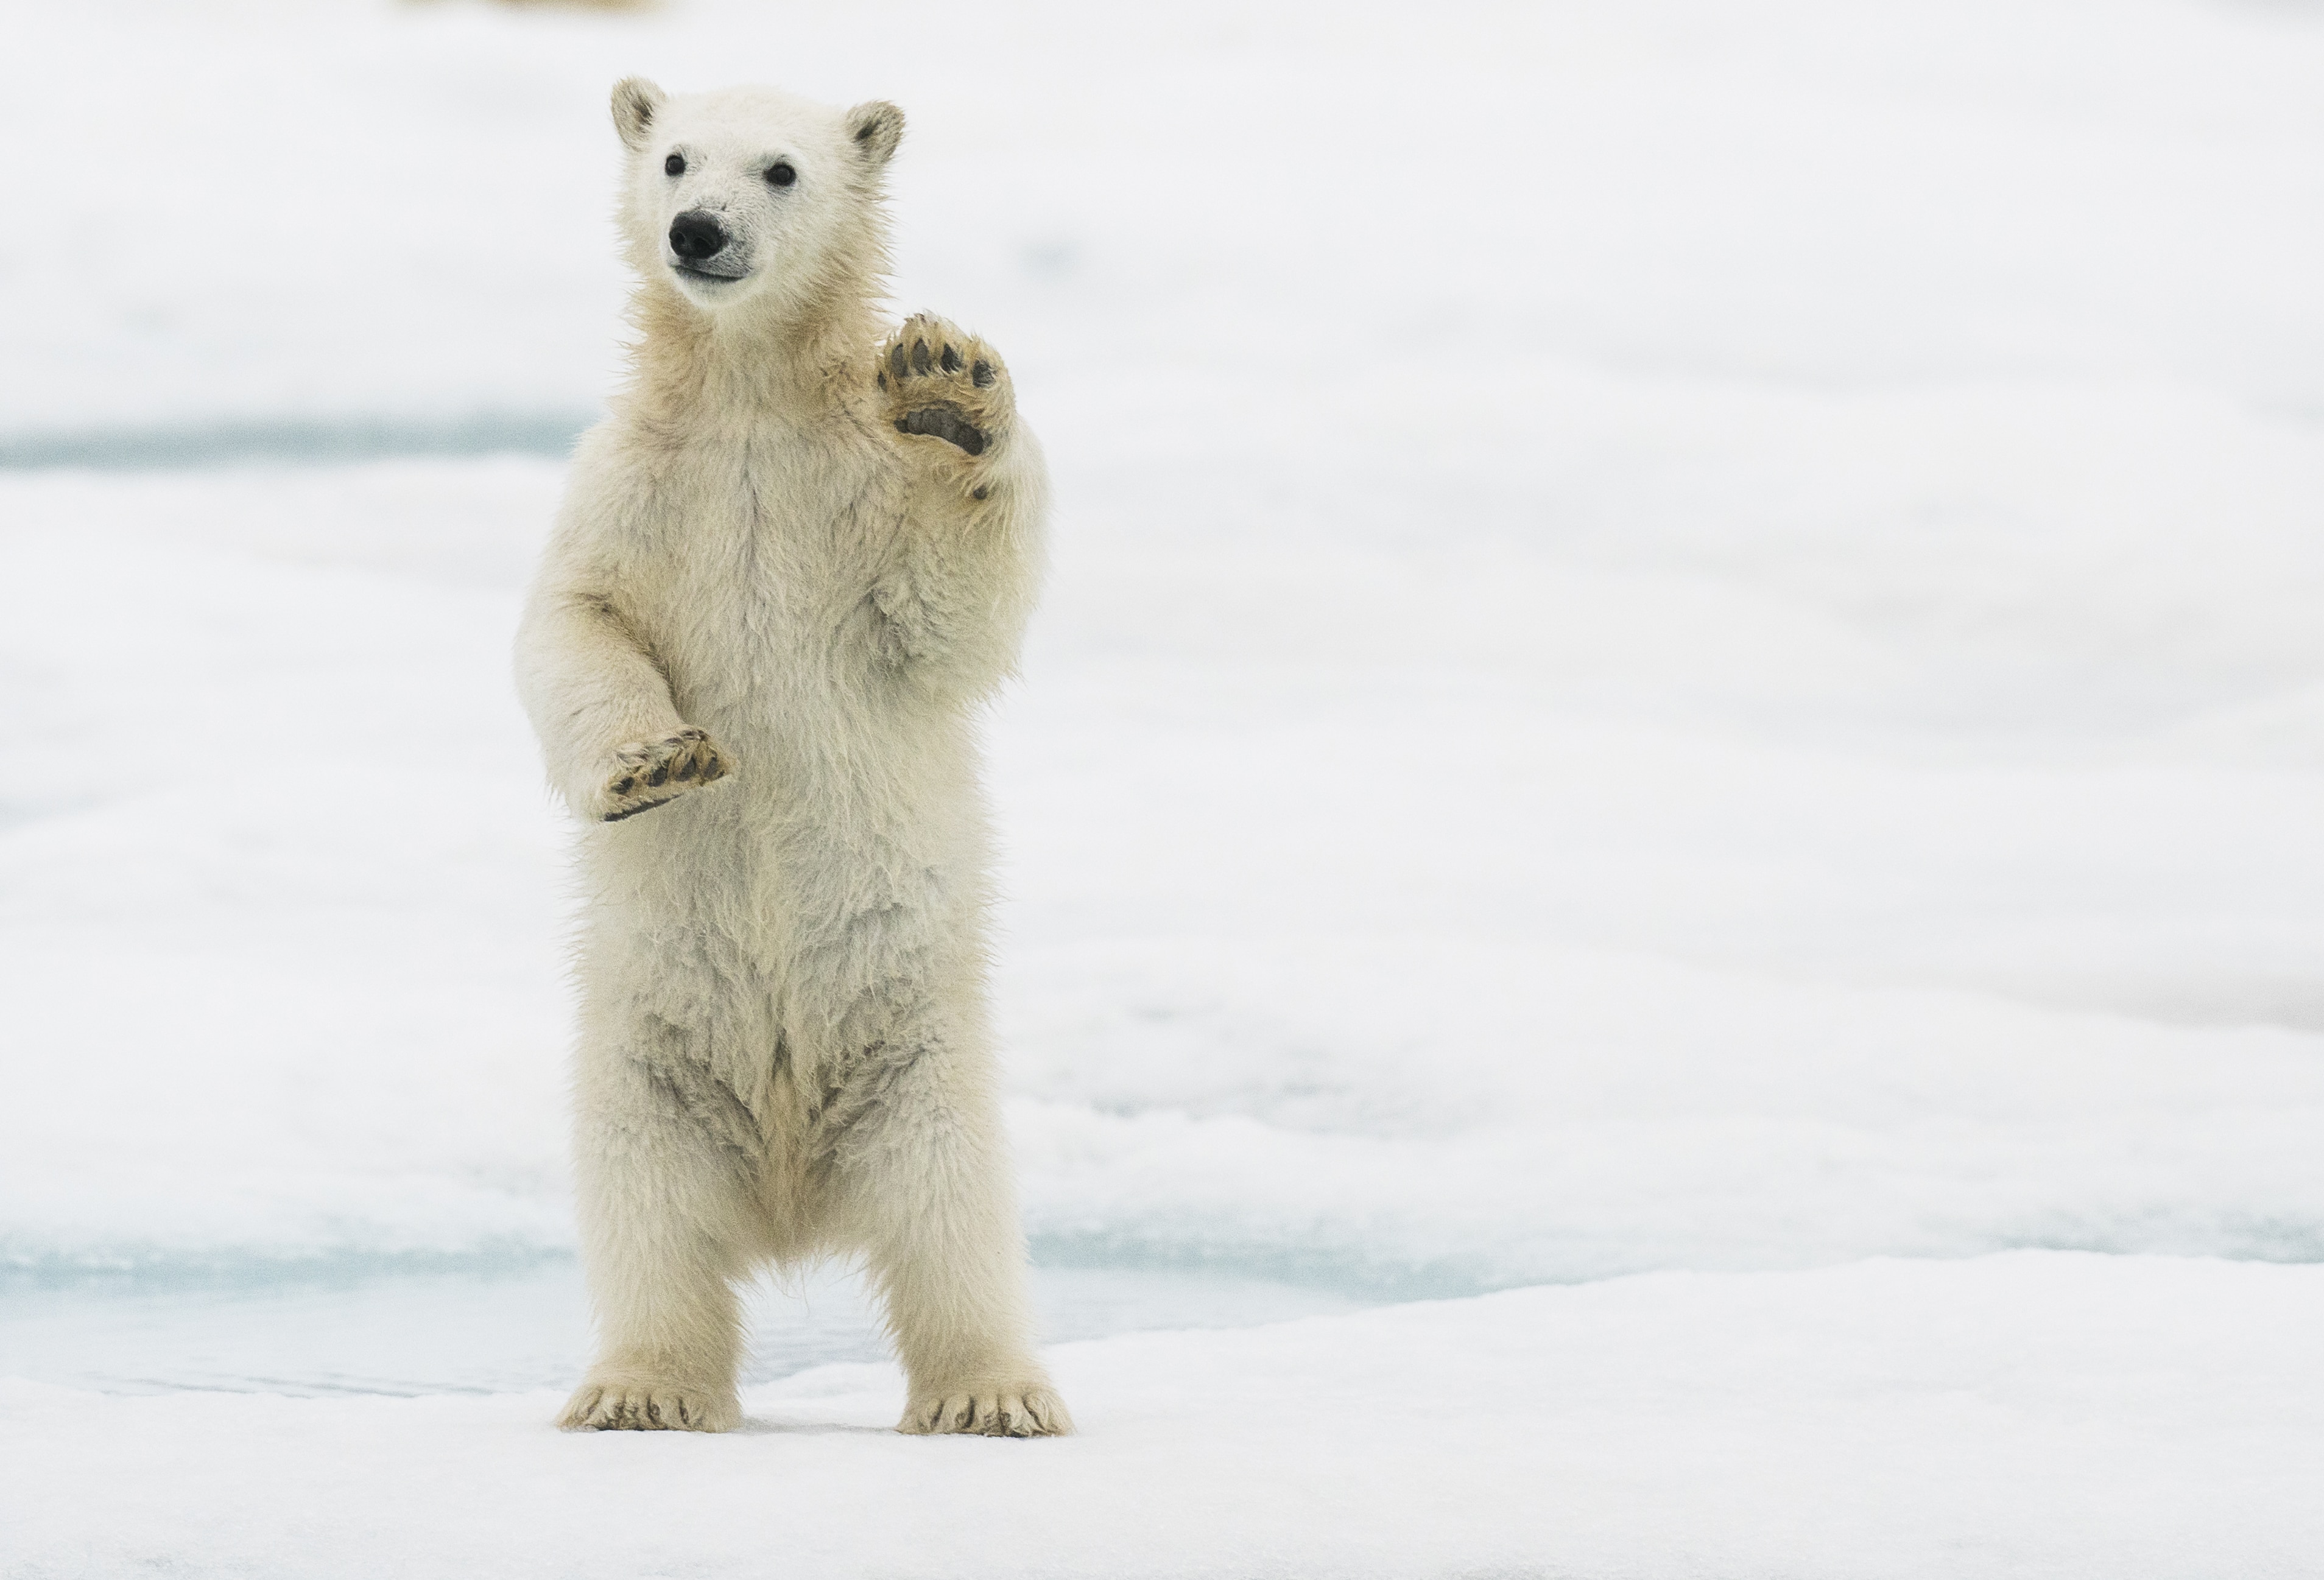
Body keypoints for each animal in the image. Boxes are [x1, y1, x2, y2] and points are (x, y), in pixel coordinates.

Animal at [513, 74, 1064, 1441]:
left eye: (780, 169)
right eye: (673, 159)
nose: (697, 230)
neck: (750, 404)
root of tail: (789, 1198)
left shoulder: (855, 500)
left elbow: (947, 613)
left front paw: (950, 385)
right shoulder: (630, 488)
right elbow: (573, 626)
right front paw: (655, 764)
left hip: (920, 1056)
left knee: (953, 1216)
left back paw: (993, 1394)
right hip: (642, 1060)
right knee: (647, 1219)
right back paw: (641, 1387)